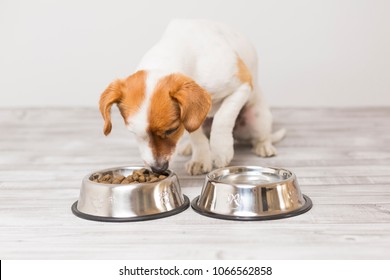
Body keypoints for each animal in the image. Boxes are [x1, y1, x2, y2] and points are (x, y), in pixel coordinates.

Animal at [99, 18, 284, 174]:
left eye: (171, 130)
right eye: (133, 133)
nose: (158, 169)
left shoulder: (243, 84)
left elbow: (222, 118)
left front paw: (221, 150)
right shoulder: (191, 118)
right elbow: (196, 134)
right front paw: (200, 158)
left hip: (258, 118)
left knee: (261, 137)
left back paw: (263, 146)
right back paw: (189, 147)